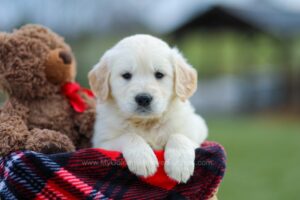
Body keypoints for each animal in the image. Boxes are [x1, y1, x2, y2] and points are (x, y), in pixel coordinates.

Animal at [88, 34, 207, 183]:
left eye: (159, 74)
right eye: (126, 75)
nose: (143, 98)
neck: (146, 123)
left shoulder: (197, 131)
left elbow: (179, 136)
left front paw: (180, 165)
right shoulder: (101, 142)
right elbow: (129, 135)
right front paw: (143, 159)